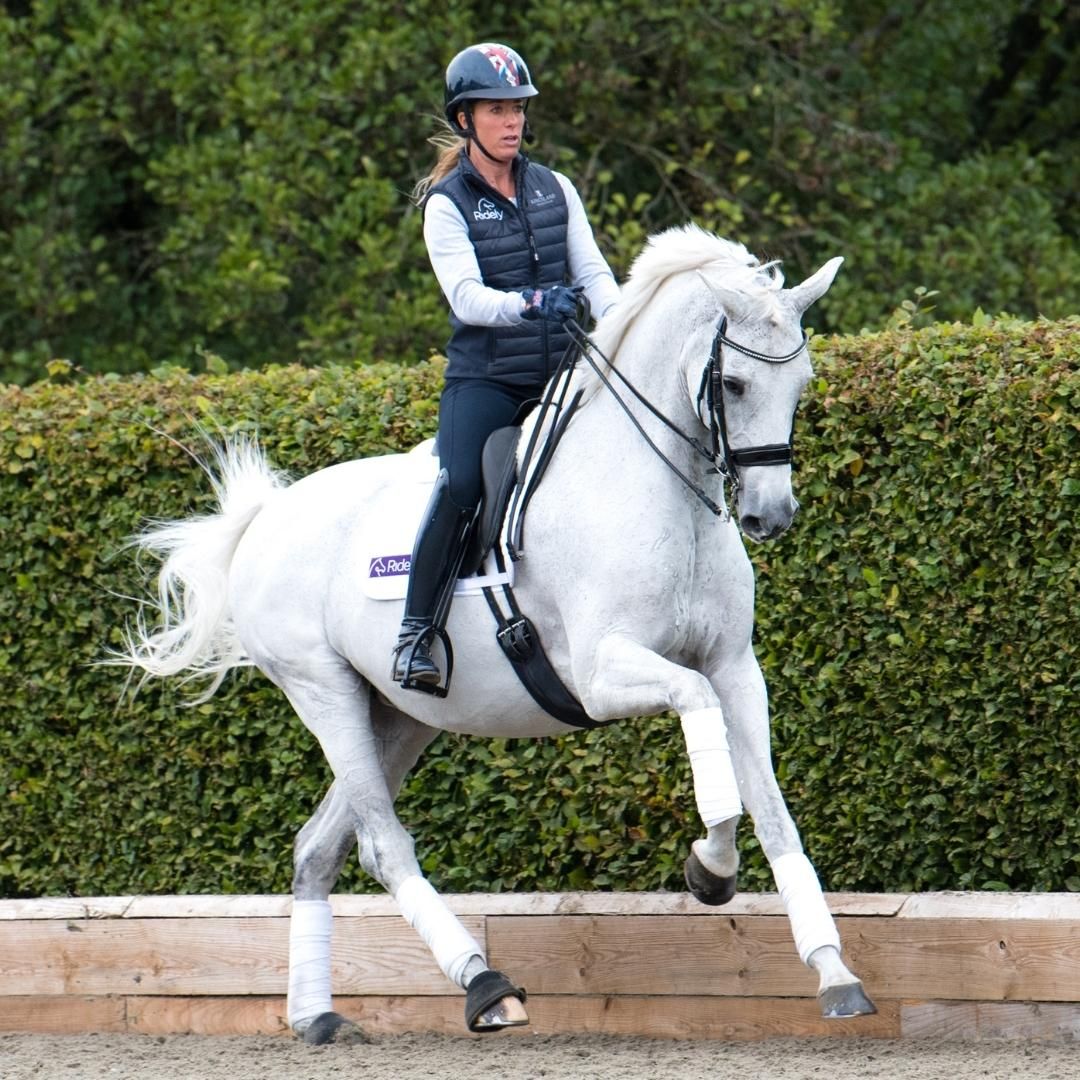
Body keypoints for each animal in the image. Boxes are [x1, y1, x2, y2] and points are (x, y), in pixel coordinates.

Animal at [116, 225, 876, 1036]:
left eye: (801, 386)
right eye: (732, 385)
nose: (771, 515)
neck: (654, 487)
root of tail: (265, 518)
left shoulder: (735, 665)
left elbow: (773, 813)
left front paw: (833, 972)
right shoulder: (605, 675)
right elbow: (704, 731)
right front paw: (709, 870)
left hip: (398, 717)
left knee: (319, 848)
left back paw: (317, 1017)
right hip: (324, 694)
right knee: (383, 847)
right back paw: (486, 986)